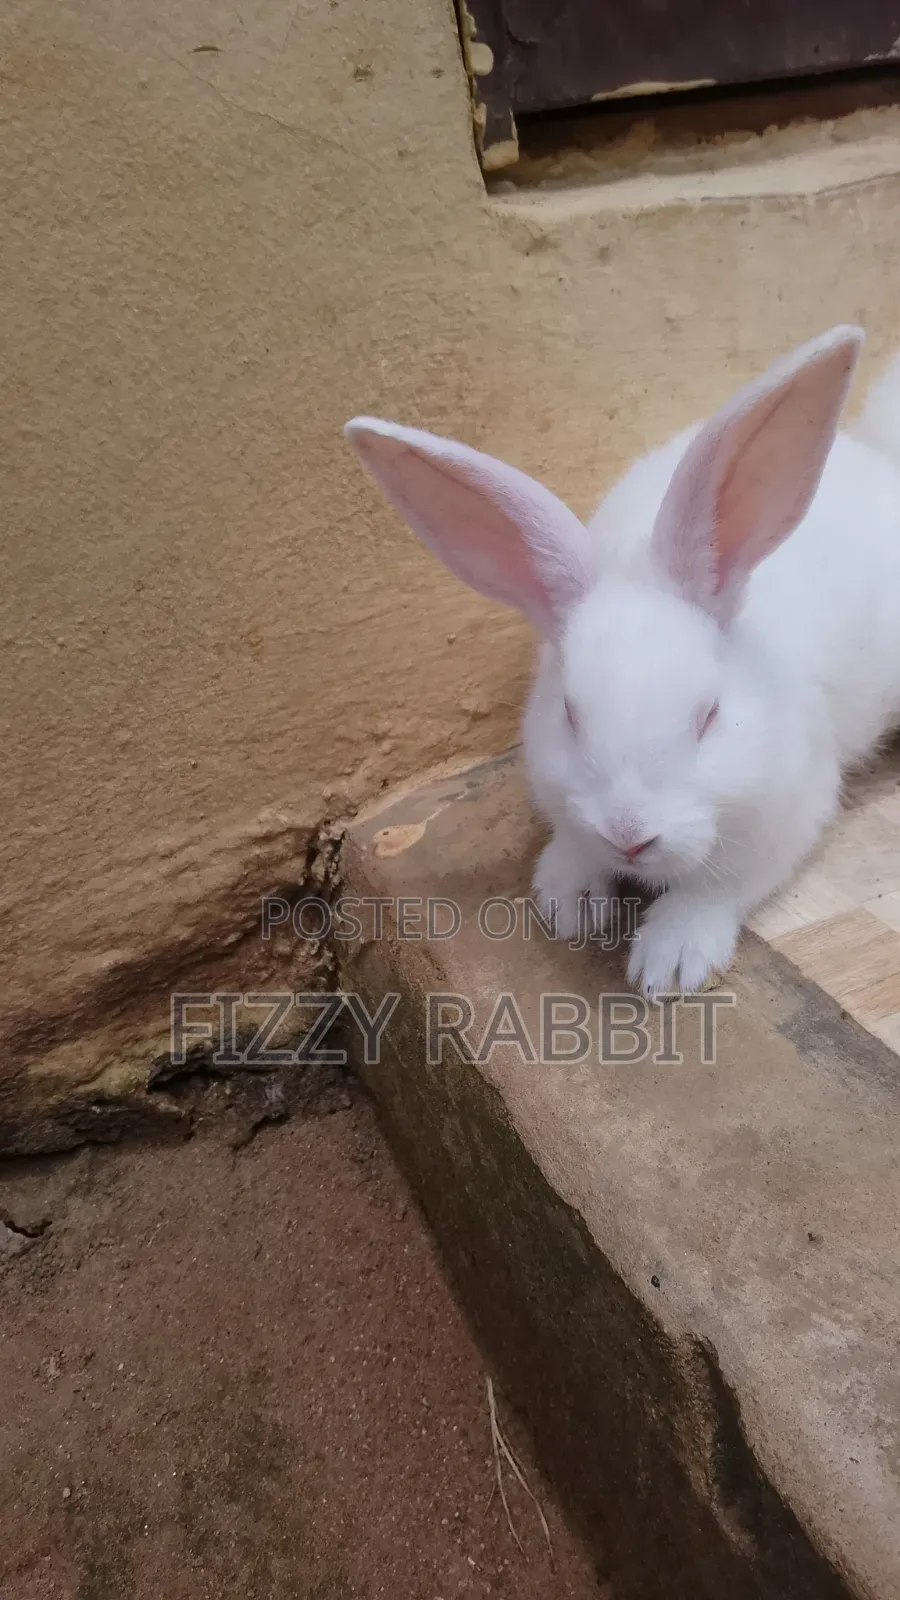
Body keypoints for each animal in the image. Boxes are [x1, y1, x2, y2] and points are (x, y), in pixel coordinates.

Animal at [344, 324, 900, 996]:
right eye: (570, 715)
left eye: (709, 717)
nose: (630, 837)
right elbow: (572, 849)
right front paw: (569, 905)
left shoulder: (783, 818)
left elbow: (713, 893)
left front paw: (669, 964)